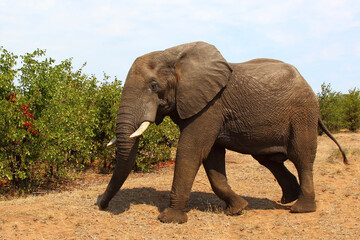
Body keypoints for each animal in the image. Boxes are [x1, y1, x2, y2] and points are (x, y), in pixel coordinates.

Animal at [99, 41, 348, 223]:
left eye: (153, 86)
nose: (101, 204)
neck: (173, 54)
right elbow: (212, 158)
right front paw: (238, 209)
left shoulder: (210, 106)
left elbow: (191, 150)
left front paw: (169, 219)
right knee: (269, 160)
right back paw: (287, 199)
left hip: (302, 113)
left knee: (302, 157)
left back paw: (300, 209)